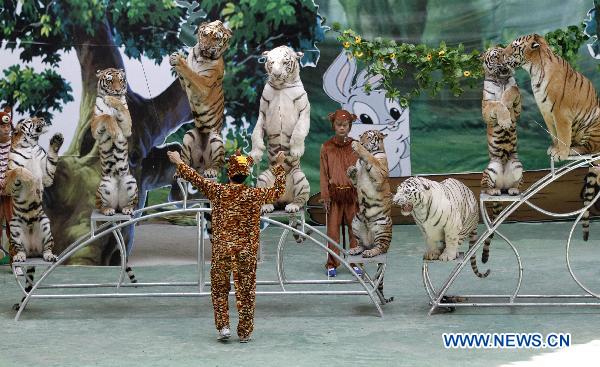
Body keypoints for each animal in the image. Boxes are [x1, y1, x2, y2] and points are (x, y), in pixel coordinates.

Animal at [91, 68, 138, 216]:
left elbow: (121, 108)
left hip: (131, 181)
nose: (117, 90)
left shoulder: (128, 126)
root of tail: (117, 205)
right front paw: (114, 130)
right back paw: (108, 210)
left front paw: (112, 99)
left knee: (133, 204)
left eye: (121, 80)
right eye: (110, 81)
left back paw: (128, 209)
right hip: (104, 184)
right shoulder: (94, 125)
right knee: (100, 206)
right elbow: (106, 116)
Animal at [171, 20, 234, 178]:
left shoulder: (204, 85)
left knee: (219, 163)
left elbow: (192, 74)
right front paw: (177, 55)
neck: (200, 57)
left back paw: (211, 171)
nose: (205, 47)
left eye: (216, 39)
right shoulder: (184, 84)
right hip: (189, 135)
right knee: (185, 162)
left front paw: (179, 60)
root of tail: (202, 165)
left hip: (216, 138)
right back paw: (180, 172)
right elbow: (183, 76)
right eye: (205, 35)